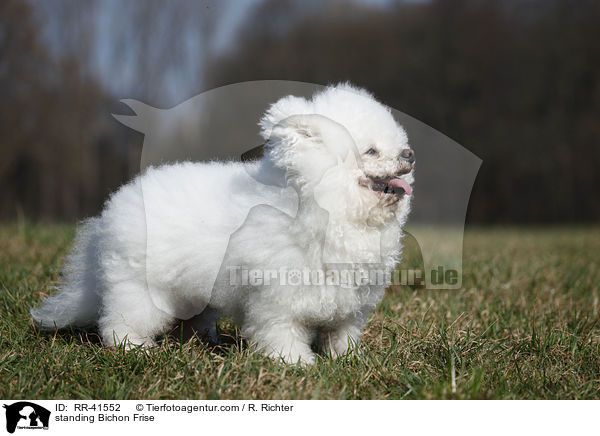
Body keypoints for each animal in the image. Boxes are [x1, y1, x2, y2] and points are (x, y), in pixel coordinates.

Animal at [31, 82, 412, 364]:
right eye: (372, 151)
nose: (409, 155)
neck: (326, 208)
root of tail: (108, 214)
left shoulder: (349, 303)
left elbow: (341, 334)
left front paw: (348, 359)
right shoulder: (276, 298)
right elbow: (281, 331)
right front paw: (294, 362)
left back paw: (202, 339)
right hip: (140, 288)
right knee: (120, 319)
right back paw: (134, 347)